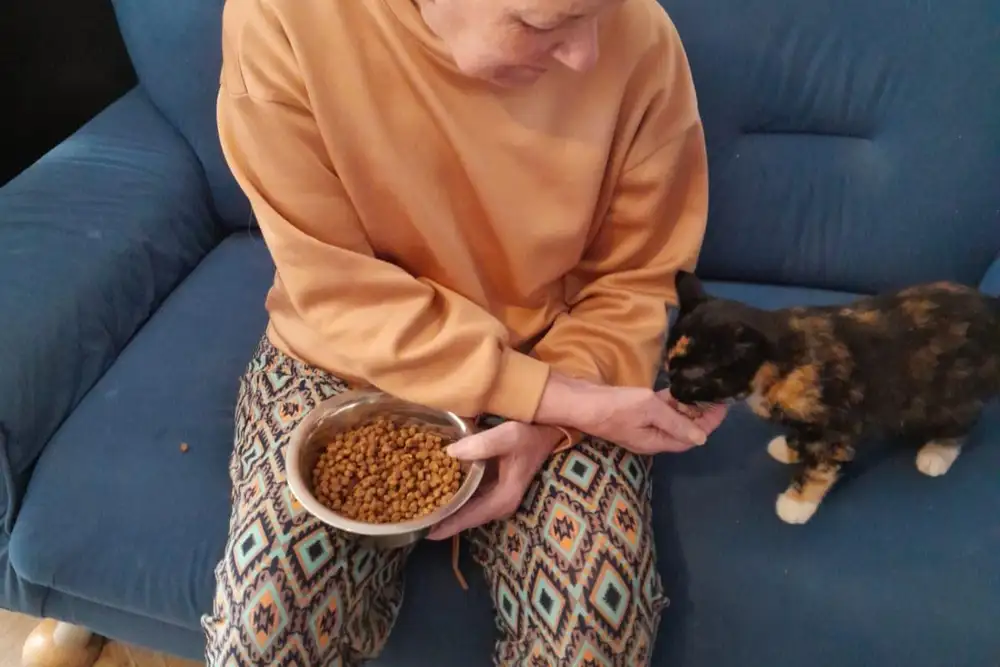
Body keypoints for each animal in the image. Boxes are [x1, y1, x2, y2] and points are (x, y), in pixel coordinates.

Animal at [663, 270, 1000, 525]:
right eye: (668, 368)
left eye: (693, 378)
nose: (674, 393)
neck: (782, 362)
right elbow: (802, 436)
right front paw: (790, 448)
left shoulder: (837, 421)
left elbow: (820, 463)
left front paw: (797, 503)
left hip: (953, 389)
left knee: (963, 420)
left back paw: (937, 453)